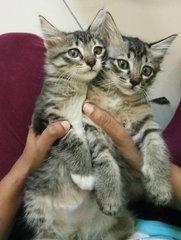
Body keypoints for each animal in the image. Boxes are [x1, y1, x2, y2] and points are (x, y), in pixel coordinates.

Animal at [23, 14, 134, 240]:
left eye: (97, 50)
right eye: (74, 53)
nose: (91, 61)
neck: (77, 88)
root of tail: (77, 229)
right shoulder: (47, 117)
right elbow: (73, 140)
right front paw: (84, 176)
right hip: (37, 208)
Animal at [84, 10, 177, 209]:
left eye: (146, 71)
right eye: (123, 64)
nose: (135, 81)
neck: (118, 97)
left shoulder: (146, 121)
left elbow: (156, 146)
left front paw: (160, 186)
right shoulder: (90, 121)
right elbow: (103, 156)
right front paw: (109, 195)